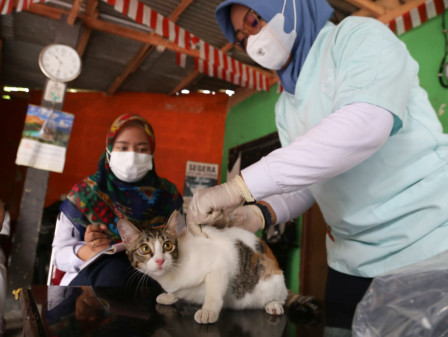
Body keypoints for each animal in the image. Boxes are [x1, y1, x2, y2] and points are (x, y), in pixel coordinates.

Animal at [117, 210, 316, 322]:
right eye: (145, 249)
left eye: (168, 245)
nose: (160, 260)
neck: (171, 274)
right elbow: (176, 292)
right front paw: (170, 296)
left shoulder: (220, 263)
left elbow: (213, 293)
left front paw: (208, 311)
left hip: (271, 276)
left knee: (281, 296)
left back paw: (273, 304)